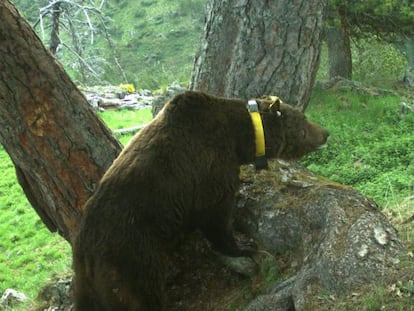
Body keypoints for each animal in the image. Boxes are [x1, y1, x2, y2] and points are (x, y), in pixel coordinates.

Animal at [72, 89, 330, 310]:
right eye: (304, 118)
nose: (326, 132)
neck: (241, 138)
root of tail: (85, 252)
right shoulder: (210, 167)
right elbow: (216, 215)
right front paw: (245, 247)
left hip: (90, 284)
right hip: (132, 258)